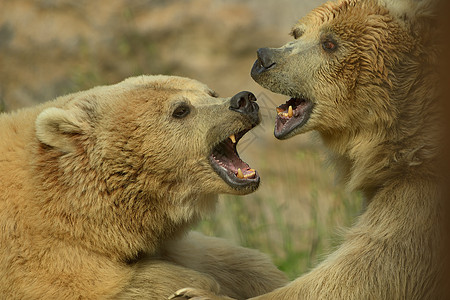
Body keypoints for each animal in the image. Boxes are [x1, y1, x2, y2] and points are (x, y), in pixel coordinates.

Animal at [0, 74, 288, 298]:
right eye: (180, 110)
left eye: (211, 92)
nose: (244, 100)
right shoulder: (38, 255)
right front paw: (196, 287)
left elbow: (230, 260)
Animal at [172, 0, 442, 300]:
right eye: (298, 33)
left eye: (330, 43)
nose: (264, 58)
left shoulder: (420, 198)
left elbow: (365, 271)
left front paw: (195, 292)